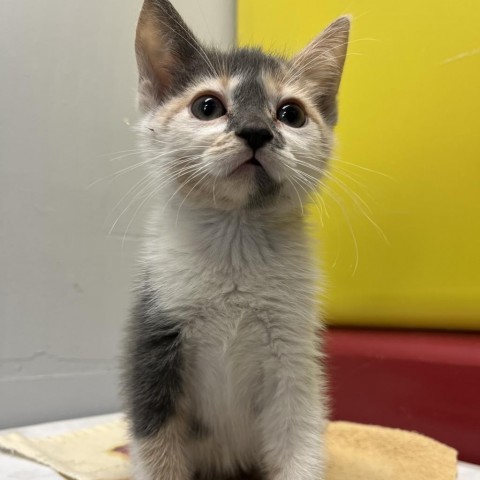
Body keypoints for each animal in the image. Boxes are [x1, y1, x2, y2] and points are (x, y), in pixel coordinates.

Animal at [122, 1, 350, 478]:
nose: (255, 131)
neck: (236, 237)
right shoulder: (153, 339)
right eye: (207, 107)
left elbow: (298, 432)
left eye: (292, 114)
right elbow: (156, 442)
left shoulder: (293, 357)